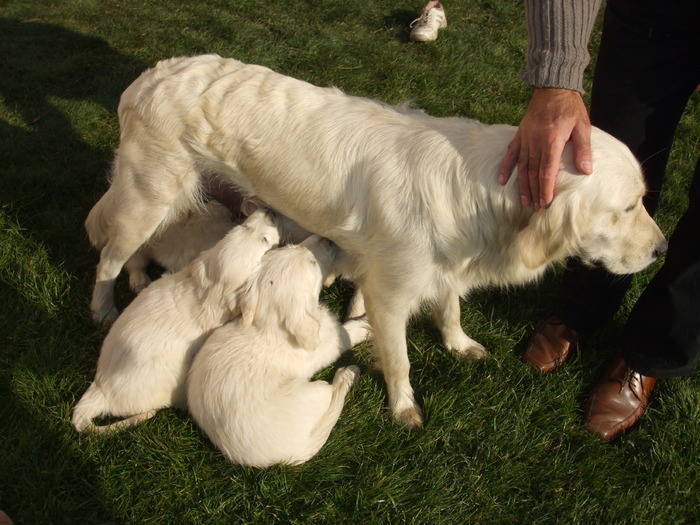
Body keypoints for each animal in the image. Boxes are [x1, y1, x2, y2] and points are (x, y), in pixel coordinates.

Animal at [186, 235, 372, 464]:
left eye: (293, 245)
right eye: (313, 263)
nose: (326, 238)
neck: (270, 325)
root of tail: (295, 454)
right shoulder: (331, 341)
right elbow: (349, 332)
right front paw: (367, 324)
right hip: (317, 390)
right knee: (334, 393)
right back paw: (347, 375)